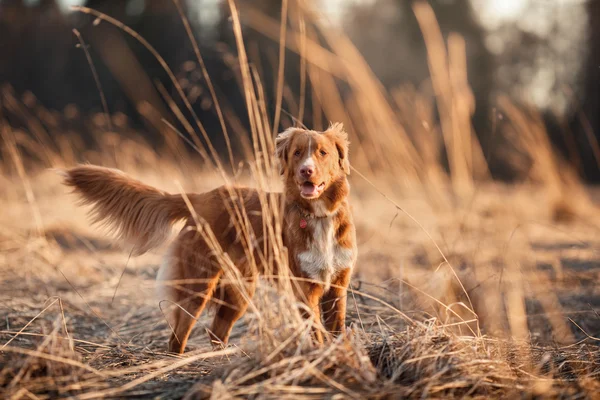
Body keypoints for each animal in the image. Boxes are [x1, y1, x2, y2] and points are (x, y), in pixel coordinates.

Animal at [61, 122, 356, 354]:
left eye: (323, 153)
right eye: (297, 153)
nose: (306, 170)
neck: (320, 215)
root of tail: (198, 198)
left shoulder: (338, 286)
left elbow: (336, 329)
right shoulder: (304, 289)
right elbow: (317, 332)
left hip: (238, 291)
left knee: (216, 333)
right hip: (198, 285)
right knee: (177, 336)